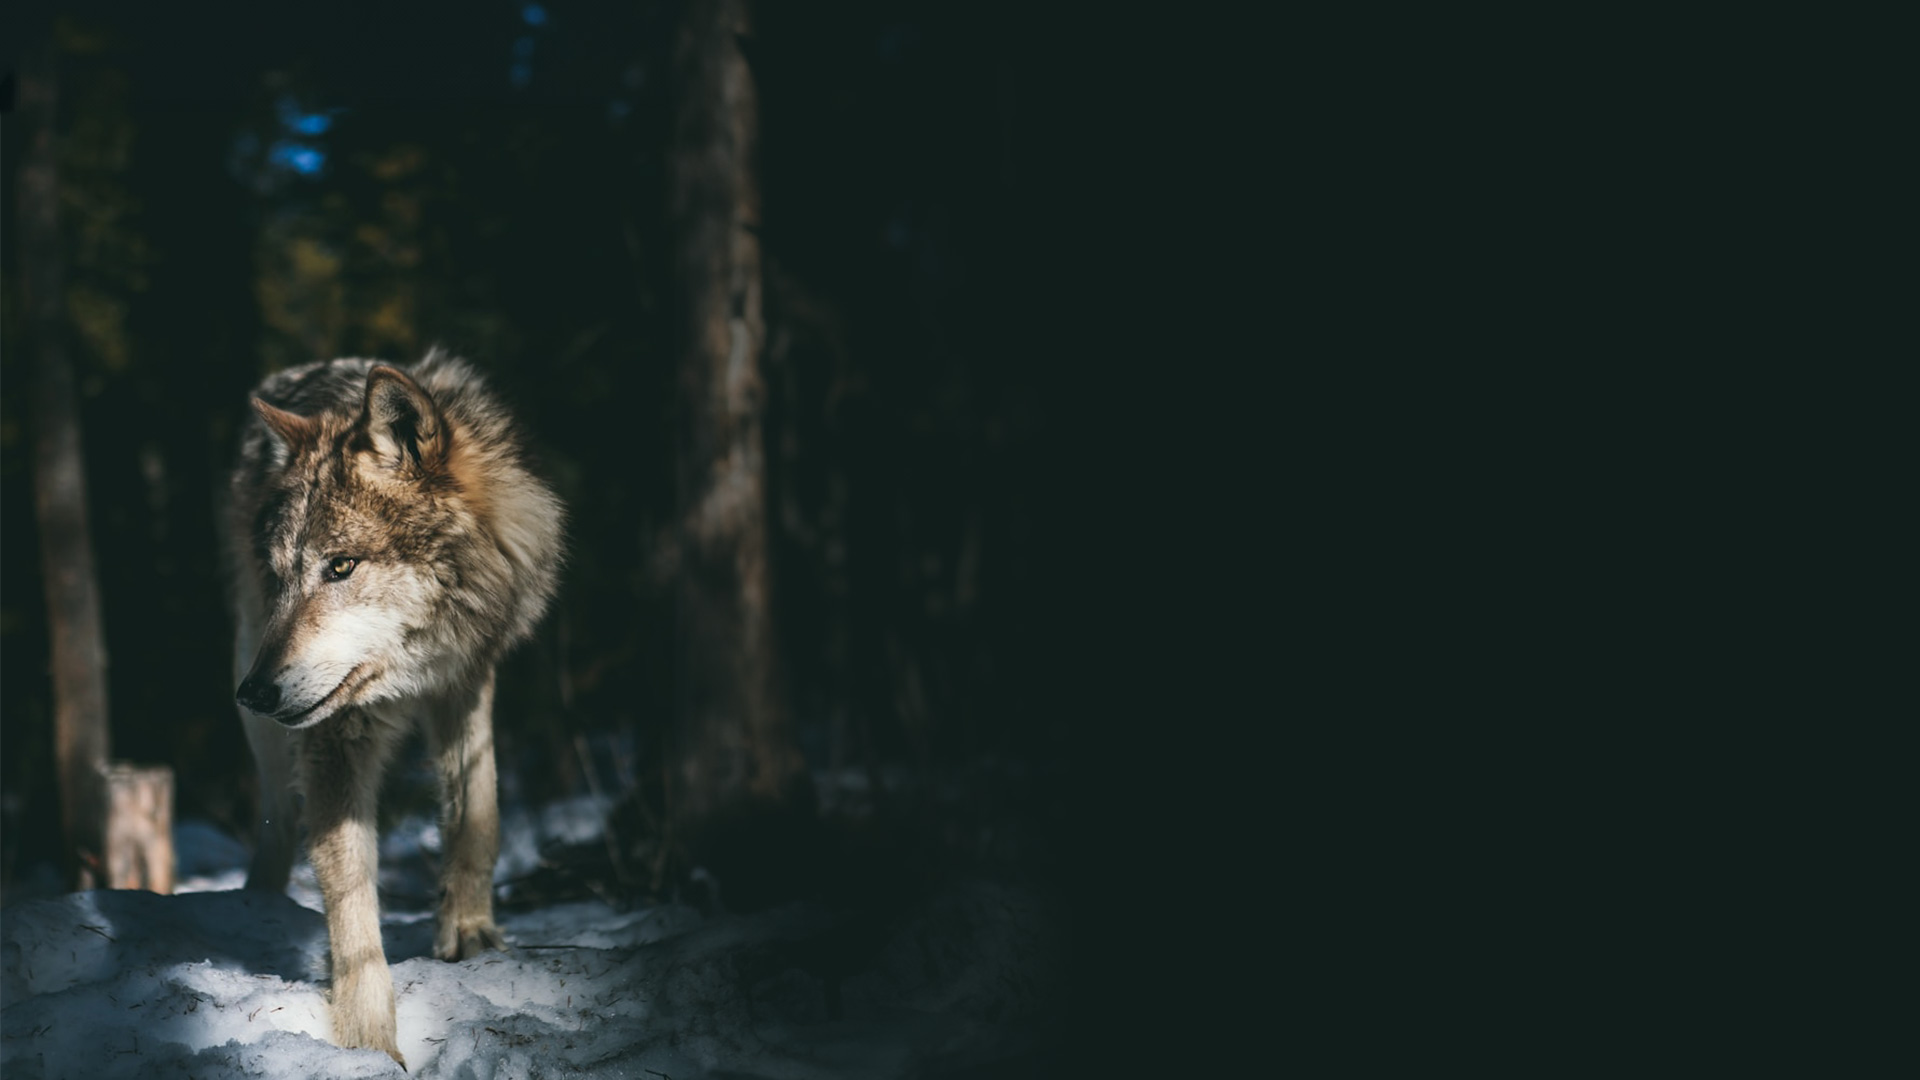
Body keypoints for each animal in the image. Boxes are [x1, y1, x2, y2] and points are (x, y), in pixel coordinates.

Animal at [225, 350, 564, 1065]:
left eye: (341, 566)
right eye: (281, 577)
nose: (255, 692)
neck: (412, 668)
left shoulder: (468, 679)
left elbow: (478, 814)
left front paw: (469, 934)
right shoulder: (334, 734)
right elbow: (350, 895)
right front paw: (368, 1043)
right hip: (249, 673)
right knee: (277, 817)